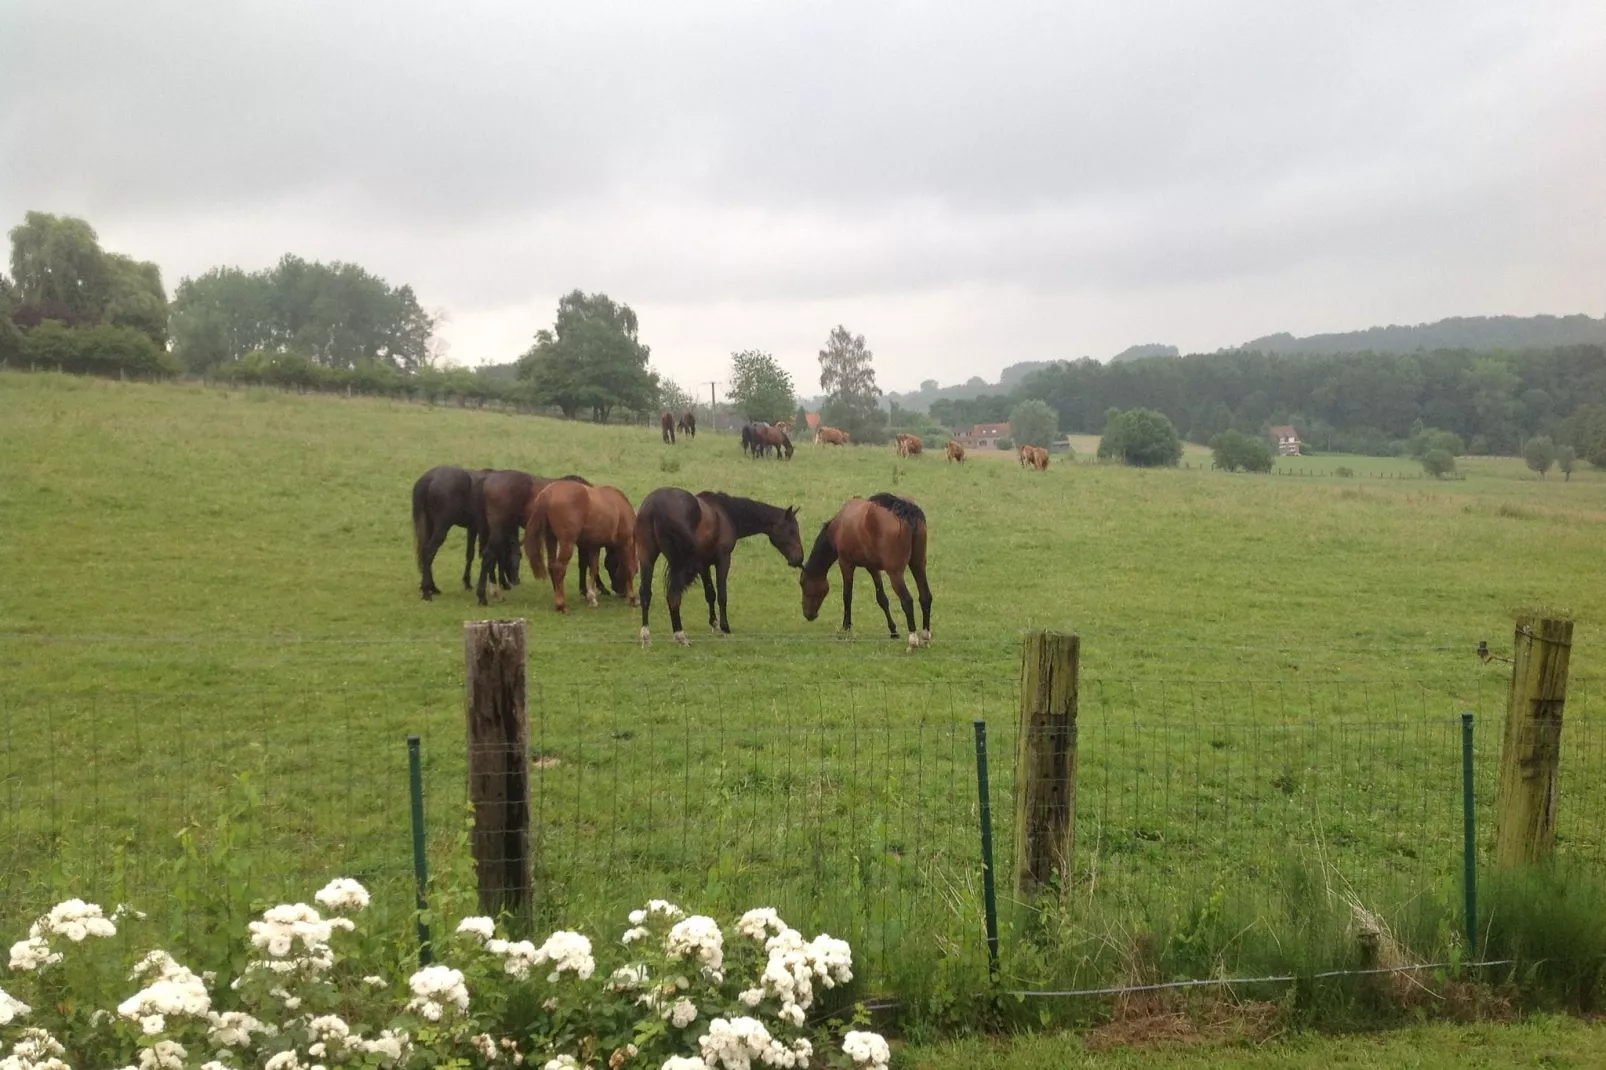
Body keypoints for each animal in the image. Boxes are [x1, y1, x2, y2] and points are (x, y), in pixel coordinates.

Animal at [411, 462, 491, 594]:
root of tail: (429, 479)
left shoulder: (472, 528)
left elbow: (470, 554)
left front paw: (467, 582)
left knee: (425, 553)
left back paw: (430, 587)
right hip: (441, 527)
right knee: (428, 552)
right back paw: (428, 588)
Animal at [520, 481, 632, 613]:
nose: (622, 592)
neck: (619, 505)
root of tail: (547, 494)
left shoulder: (594, 546)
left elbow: (593, 569)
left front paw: (592, 598)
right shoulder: (626, 542)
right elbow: (628, 568)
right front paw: (633, 598)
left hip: (551, 539)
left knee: (552, 566)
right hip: (567, 543)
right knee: (559, 568)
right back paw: (561, 605)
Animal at [629, 488, 799, 645]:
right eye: (792, 531)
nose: (799, 559)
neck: (725, 513)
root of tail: (654, 506)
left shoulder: (704, 564)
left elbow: (710, 593)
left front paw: (714, 624)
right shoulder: (723, 560)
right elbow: (722, 595)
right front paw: (725, 627)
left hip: (647, 557)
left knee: (646, 593)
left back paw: (646, 635)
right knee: (673, 595)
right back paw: (680, 635)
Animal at [799, 488, 931, 645]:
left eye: (803, 583)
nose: (808, 615)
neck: (840, 524)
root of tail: (905, 509)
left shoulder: (846, 563)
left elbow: (847, 595)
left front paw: (846, 626)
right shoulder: (873, 568)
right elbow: (882, 599)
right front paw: (893, 630)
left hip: (895, 573)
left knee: (907, 600)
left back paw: (913, 639)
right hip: (918, 565)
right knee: (925, 596)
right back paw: (925, 636)